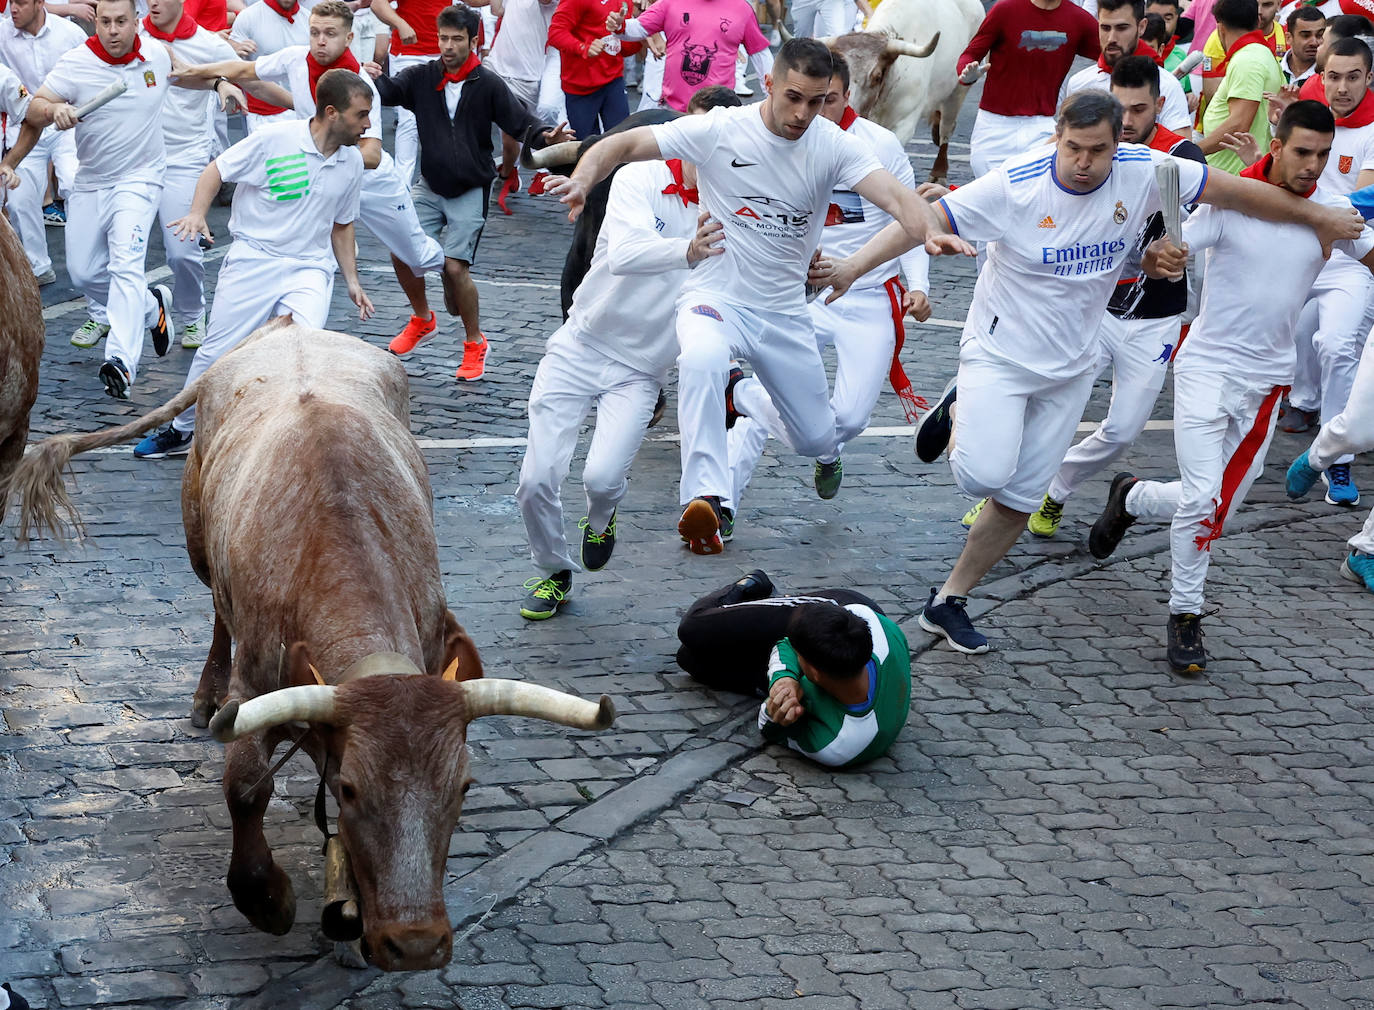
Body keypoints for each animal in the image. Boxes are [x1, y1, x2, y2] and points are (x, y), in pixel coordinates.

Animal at [4, 321, 618, 972]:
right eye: (349, 789)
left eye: (463, 788)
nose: (416, 944)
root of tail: (287, 325)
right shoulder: (253, 691)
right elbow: (246, 787)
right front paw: (269, 900)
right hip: (198, 543)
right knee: (216, 611)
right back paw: (203, 695)